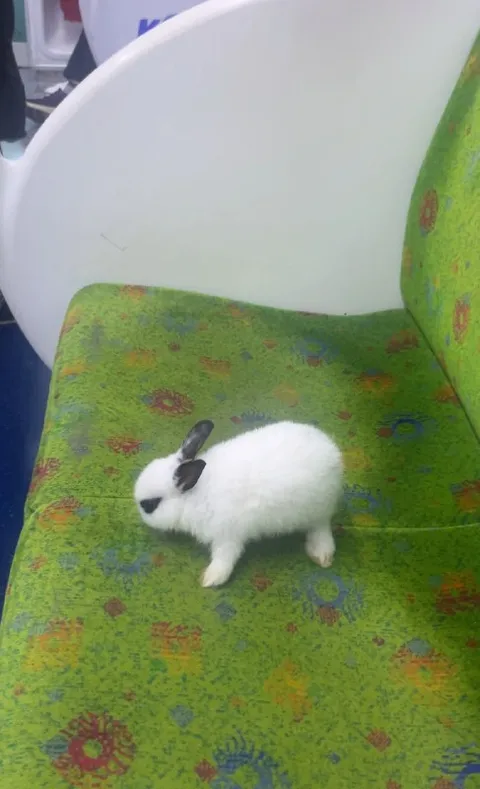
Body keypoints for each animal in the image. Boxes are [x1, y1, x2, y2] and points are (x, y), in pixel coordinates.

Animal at [134, 419, 343, 588]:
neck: (194, 496)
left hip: (317, 510)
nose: (139, 512)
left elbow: (224, 558)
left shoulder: (227, 536)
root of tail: (332, 450)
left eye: (150, 504)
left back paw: (321, 555)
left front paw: (210, 579)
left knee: (321, 529)